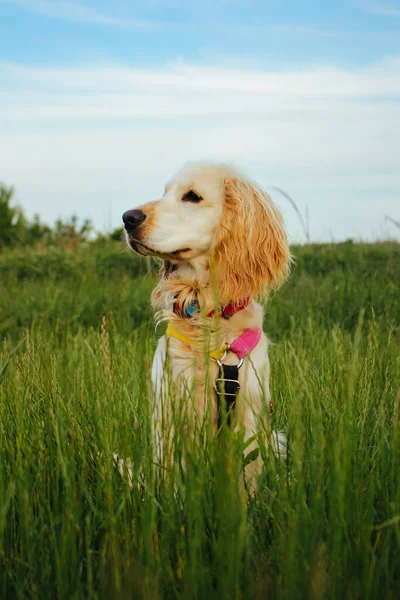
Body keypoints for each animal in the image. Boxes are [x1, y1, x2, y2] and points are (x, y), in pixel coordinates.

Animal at [122, 162, 290, 486]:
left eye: (192, 196)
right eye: (165, 192)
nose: (127, 218)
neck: (208, 315)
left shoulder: (249, 418)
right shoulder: (168, 416)